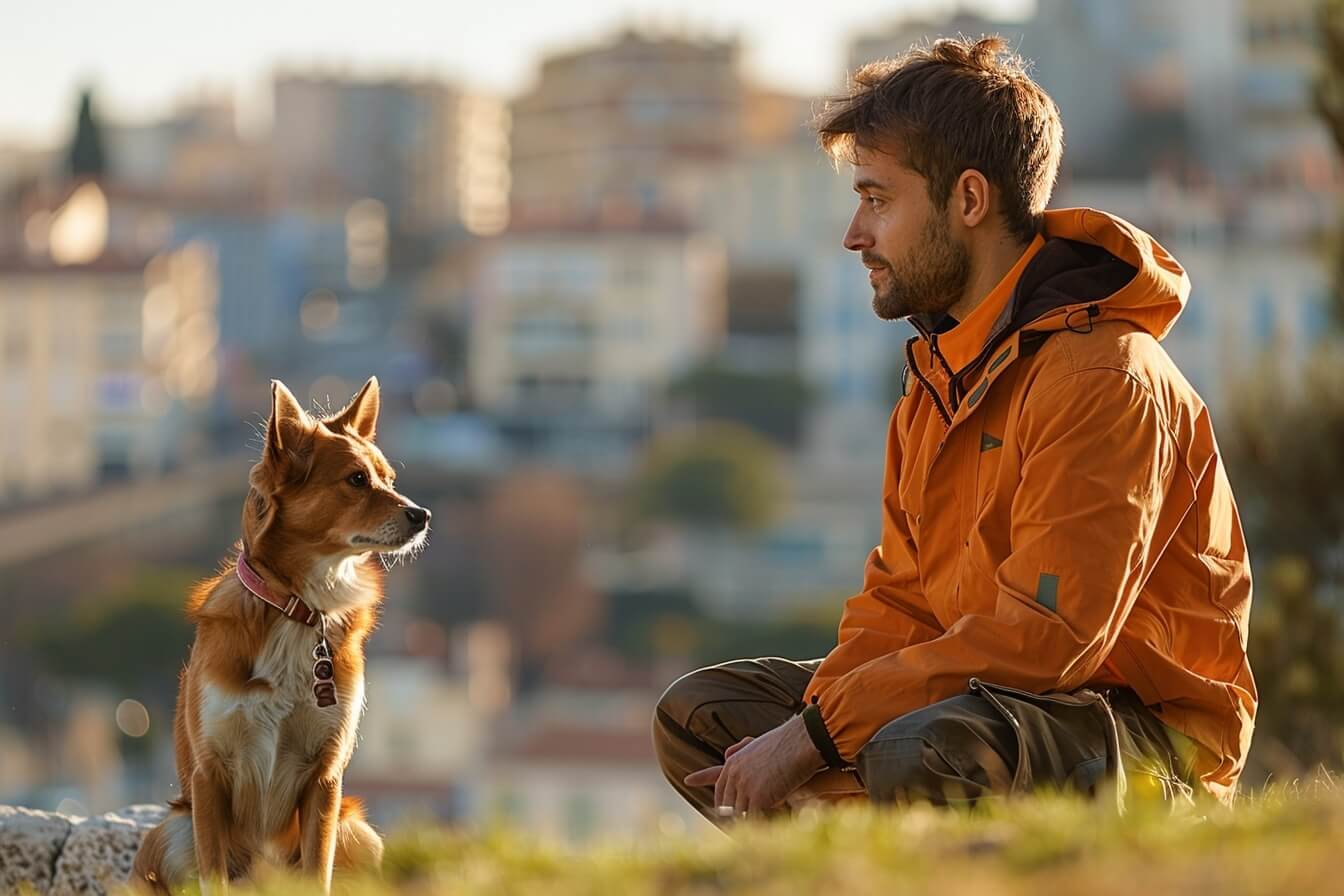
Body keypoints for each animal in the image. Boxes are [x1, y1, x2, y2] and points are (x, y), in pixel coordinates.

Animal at [131, 376, 430, 891]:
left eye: (389, 479)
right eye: (356, 479)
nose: (423, 515)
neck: (297, 608)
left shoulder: (324, 776)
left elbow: (317, 872)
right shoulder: (211, 774)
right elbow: (214, 877)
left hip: (359, 833)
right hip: (171, 830)